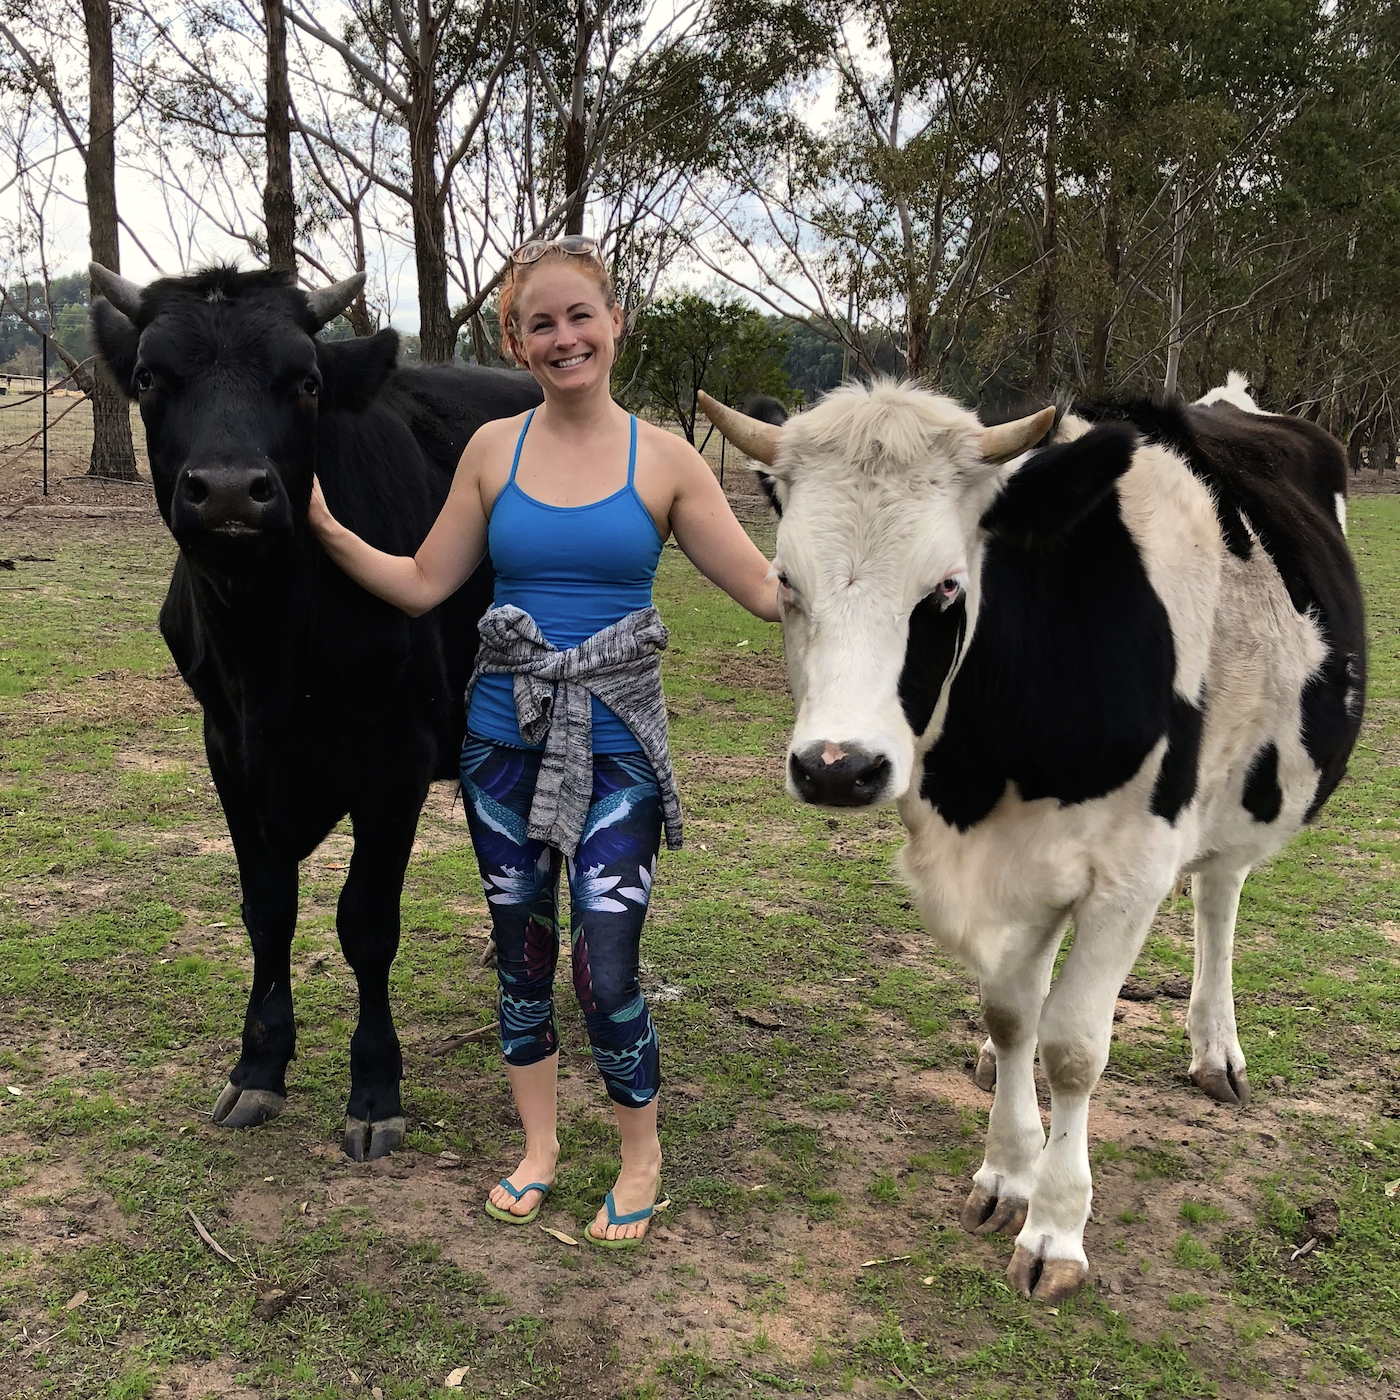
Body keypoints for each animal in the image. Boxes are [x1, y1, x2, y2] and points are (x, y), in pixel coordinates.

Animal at [84, 263, 537, 1159]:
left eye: (306, 382)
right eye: (149, 378)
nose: (229, 491)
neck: (268, 650)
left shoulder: (396, 759)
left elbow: (366, 922)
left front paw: (375, 1089)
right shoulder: (227, 750)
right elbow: (268, 909)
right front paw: (258, 1067)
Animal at [705, 380, 1360, 1299]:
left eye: (947, 587)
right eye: (784, 580)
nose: (839, 767)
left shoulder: (1129, 875)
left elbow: (1074, 1048)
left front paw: (1055, 1227)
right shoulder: (1009, 861)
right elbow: (1015, 1018)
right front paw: (1006, 1172)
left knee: (1219, 894)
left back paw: (1216, 1050)